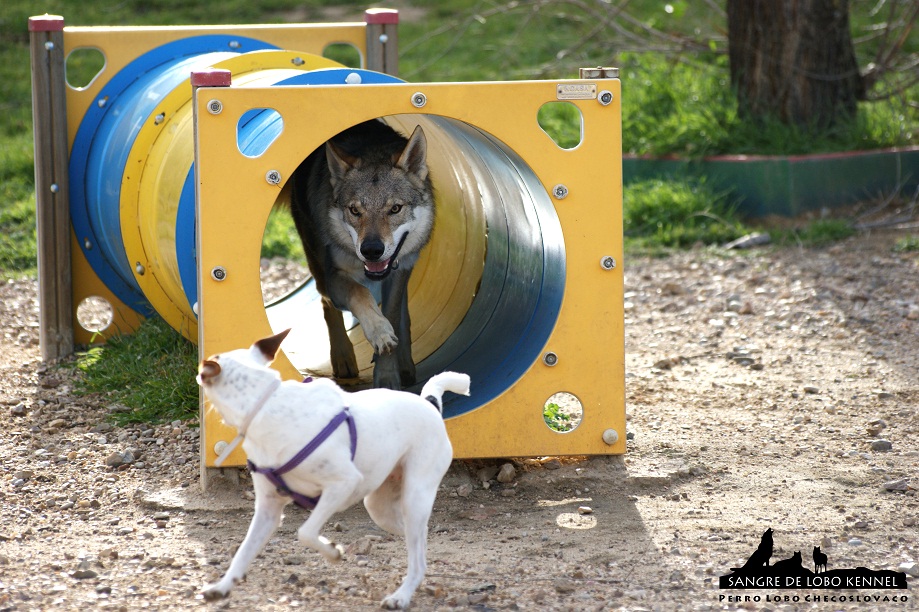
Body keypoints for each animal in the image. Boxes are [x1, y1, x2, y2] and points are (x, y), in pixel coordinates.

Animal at [196, 330, 468, 608]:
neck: (266, 404)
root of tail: (430, 403)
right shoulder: (268, 510)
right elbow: (243, 551)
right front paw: (222, 587)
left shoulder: (342, 485)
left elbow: (305, 532)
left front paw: (333, 552)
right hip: (379, 508)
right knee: (420, 542)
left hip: (414, 496)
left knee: (417, 549)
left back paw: (401, 596)